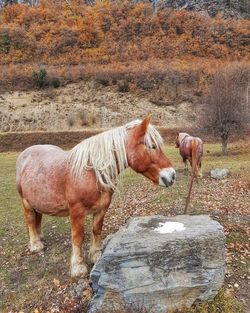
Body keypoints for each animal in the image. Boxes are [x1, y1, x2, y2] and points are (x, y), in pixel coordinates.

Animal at [16, 116, 176, 276]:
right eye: (152, 146)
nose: (172, 175)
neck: (92, 172)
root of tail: (25, 154)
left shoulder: (102, 208)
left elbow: (96, 230)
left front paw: (95, 255)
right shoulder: (76, 211)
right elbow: (78, 237)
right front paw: (78, 267)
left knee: (37, 217)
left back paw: (39, 237)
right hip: (25, 201)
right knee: (30, 219)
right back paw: (36, 245)